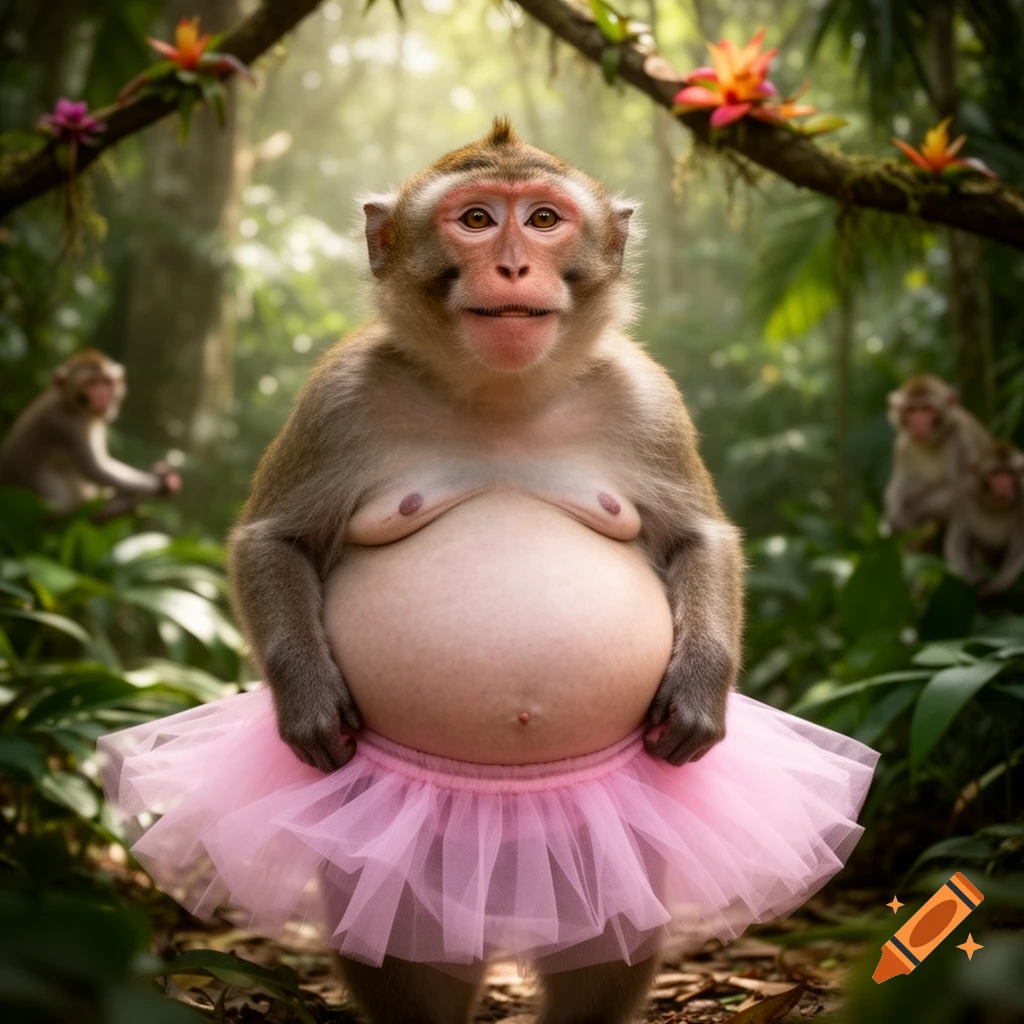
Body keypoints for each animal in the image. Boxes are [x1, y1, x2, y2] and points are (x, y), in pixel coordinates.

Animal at [0, 349, 181, 518]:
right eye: (90, 383)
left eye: (106, 383)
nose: (102, 395)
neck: (71, 406)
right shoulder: (69, 427)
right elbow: (95, 469)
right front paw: (159, 482)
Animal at [882, 373, 992, 535]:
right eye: (911, 410)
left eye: (927, 409)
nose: (918, 422)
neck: (931, 443)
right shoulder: (903, 446)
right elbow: (896, 487)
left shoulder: (960, 442)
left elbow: (962, 490)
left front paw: (910, 512)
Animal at [944, 441, 1024, 596]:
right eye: (995, 473)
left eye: (1010, 473)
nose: (1005, 484)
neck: (993, 507)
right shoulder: (963, 498)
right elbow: (956, 542)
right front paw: (971, 577)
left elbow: (1020, 546)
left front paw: (1000, 583)